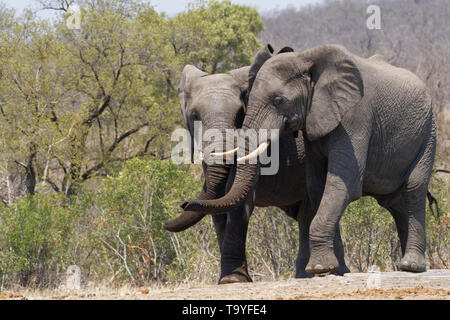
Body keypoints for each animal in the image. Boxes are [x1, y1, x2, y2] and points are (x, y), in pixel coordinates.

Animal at [165, 47, 352, 282]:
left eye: (240, 114)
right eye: (194, 115)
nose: (183, 204)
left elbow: (237, 202)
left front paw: (233, 280)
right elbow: (218, 202)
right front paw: (228, 280)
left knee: (309, 211)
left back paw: (317, 274)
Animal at [181, 43, 438, 276]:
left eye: (279, 100)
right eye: (194, 116)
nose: (184, 203)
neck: (306, 59)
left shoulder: (356, 116)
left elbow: (341, 183)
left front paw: (321, 269)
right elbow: (318, 187)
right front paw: (332, 270)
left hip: (428, 131)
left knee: (413, 189)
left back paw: (411, 266)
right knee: (395, 202)